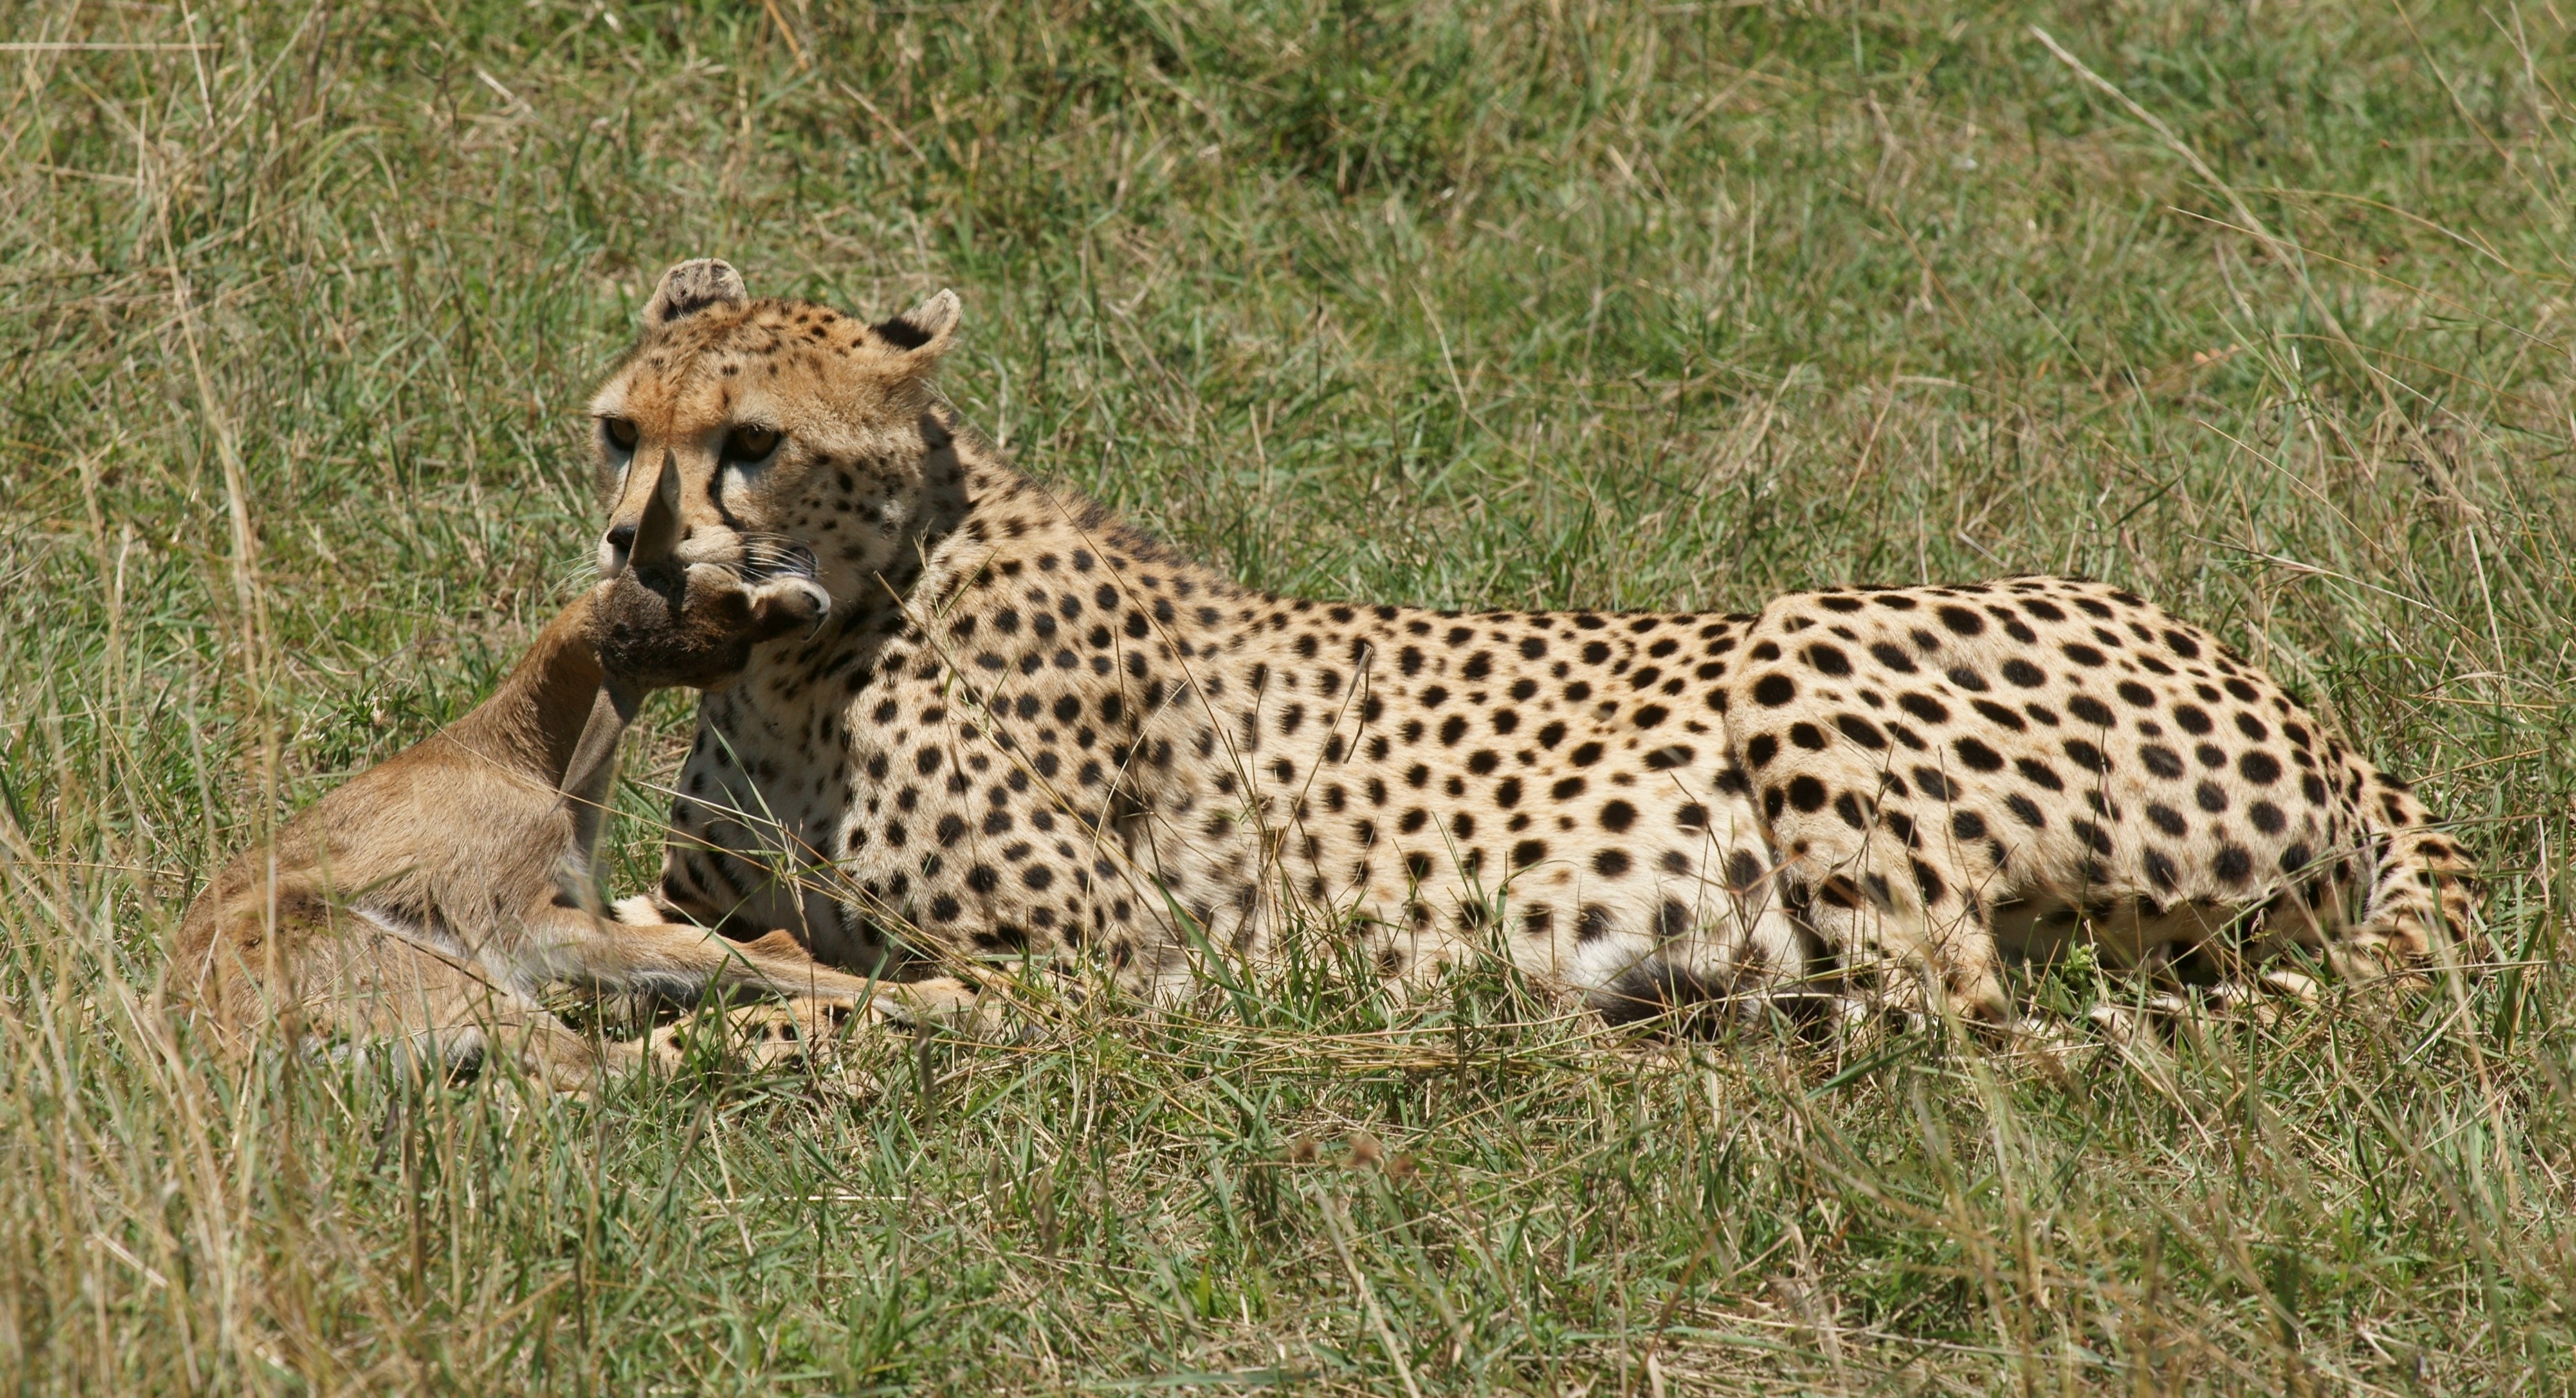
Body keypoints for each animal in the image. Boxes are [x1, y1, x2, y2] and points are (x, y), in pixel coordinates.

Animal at [588, 258, 2477, 1030]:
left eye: (749, 442)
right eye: (618, 429)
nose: (634, 547)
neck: (806, 644)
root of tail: (2304, 705)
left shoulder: (1123, 960)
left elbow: (874, 989)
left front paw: (738, 1029)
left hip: (1809, 634)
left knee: (1944, 1014)